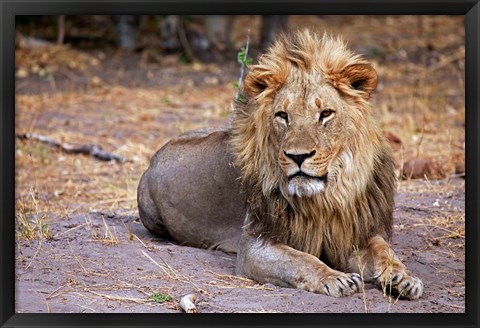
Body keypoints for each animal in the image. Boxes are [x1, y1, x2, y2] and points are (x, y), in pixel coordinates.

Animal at [137, 30, 422, 300]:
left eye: (325, 114)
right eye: (282, 116)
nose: (298, 156)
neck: (325, 199)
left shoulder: (351, 232)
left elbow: (383, 250)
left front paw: (404, 278)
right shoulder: (255, 243)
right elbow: (300, 260)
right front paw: (335, 279)